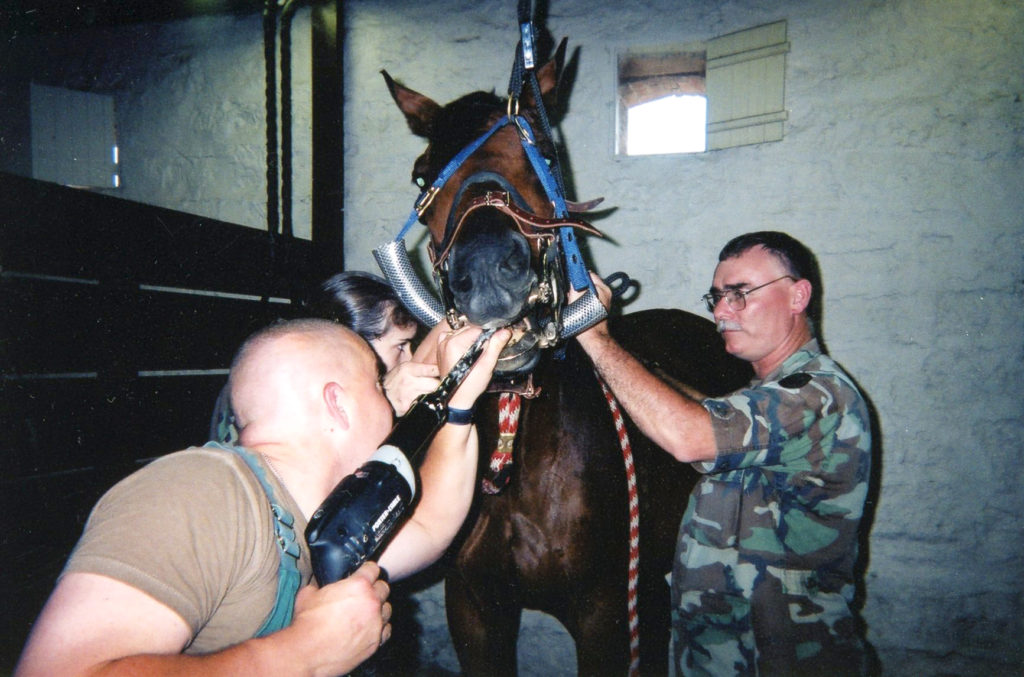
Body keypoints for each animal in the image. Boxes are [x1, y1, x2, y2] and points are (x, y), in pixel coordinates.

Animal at [380, 42, 749, 675]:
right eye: (423, 175)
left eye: (545, 156)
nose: (487, 272)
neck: (514, 453)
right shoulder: (474, 609)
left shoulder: (604, 615)